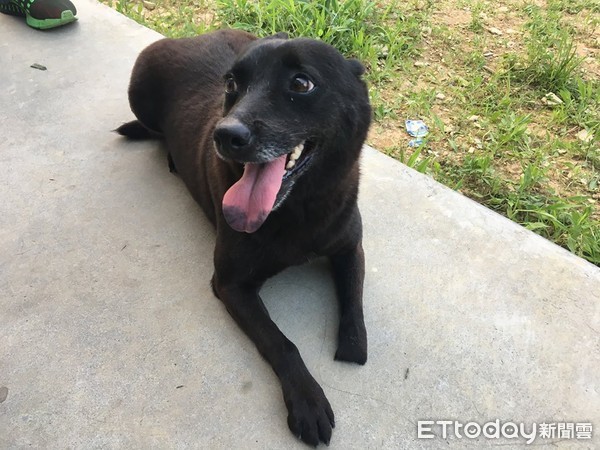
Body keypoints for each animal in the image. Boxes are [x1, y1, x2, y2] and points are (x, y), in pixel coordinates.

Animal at [116, 29, 370, 446]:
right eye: (232, 85)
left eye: (301, 83)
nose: (226, 135)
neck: (297, 207)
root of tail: (192, 37)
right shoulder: (231, 284)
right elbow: (281, 342)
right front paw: (307, 400)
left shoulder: (351, 245)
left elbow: (354, 294)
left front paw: (353, 342)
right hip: (139, 88)